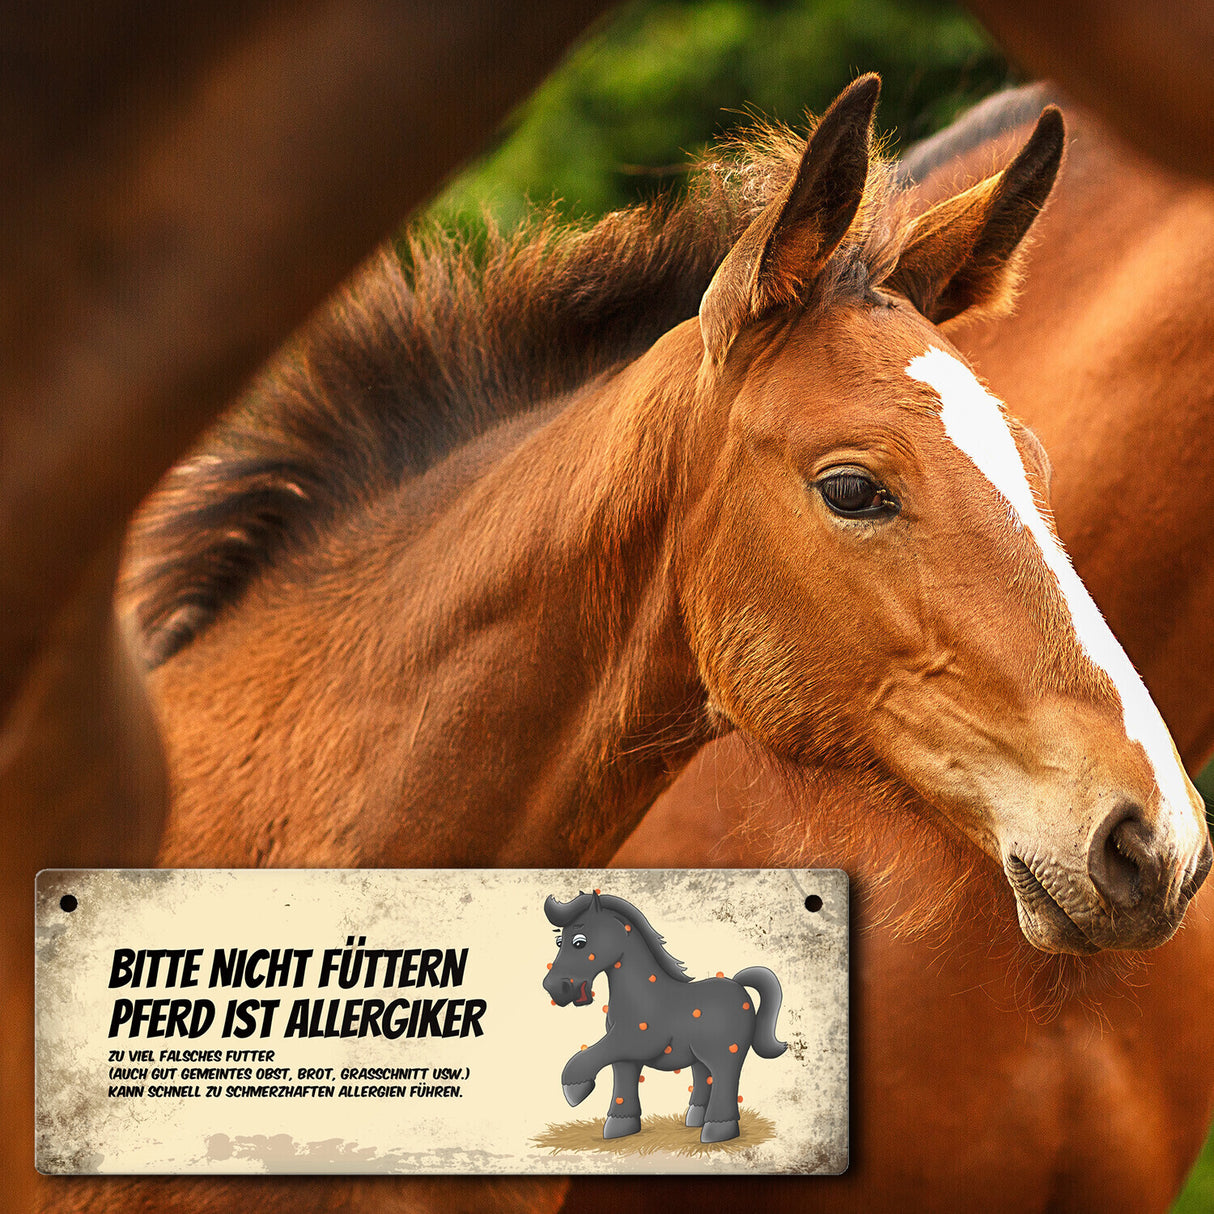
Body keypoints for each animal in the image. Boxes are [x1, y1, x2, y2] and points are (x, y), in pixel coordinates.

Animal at [543, 890, 785, 1143]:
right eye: (559, 941)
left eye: (579, 942)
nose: (555, 988)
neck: (641, 995)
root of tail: (738, 985)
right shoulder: (625, 1056)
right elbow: (622, 1083)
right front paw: (620, 1127)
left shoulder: (636, 1041)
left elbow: (586, 1056)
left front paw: (575, 1090)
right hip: (699, 1057)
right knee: (705, 1077)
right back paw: (695, 1118)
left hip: (725, 1052)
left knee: (725, 1078)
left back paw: (717, 1131)